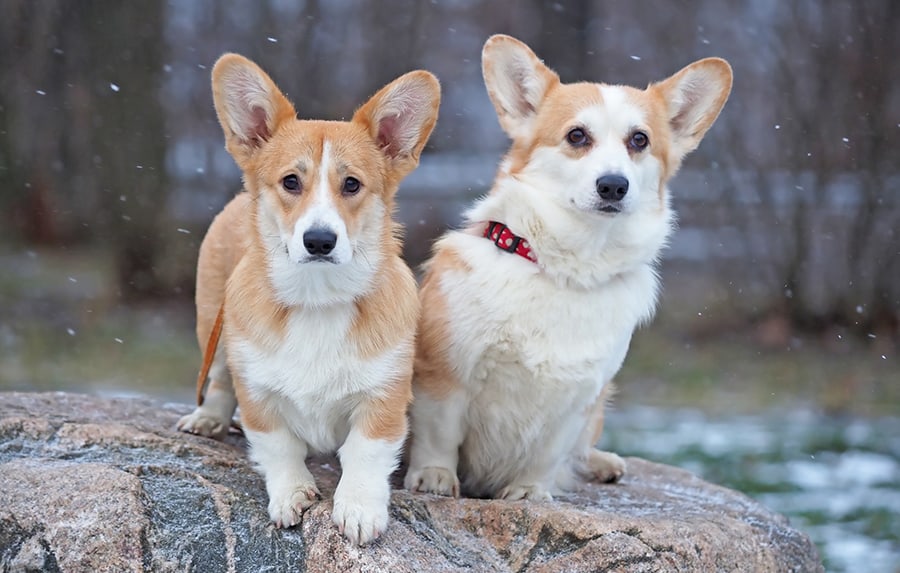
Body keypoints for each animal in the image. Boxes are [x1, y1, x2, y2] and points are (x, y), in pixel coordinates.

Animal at [176, 54, 440, 544]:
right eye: (291, 182)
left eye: (351, 184)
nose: (319, 240)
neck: (318, 299)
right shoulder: (258, 394)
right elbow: (279, 447)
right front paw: (292, 495)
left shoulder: (384, 398)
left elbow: (364, 454)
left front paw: (358, 509)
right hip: (212, 321)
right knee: (218, 377)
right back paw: (207, 418)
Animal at [404, 36, 728, 500]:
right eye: (577, 135)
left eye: (639, 140)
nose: (613, 185)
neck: (571, 266)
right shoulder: (444, 374)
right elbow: (439, 435)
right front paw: (434, 477)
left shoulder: (578, 399)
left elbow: (548, 453)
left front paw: (530, 491)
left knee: (579, 448)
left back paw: (602, 463)